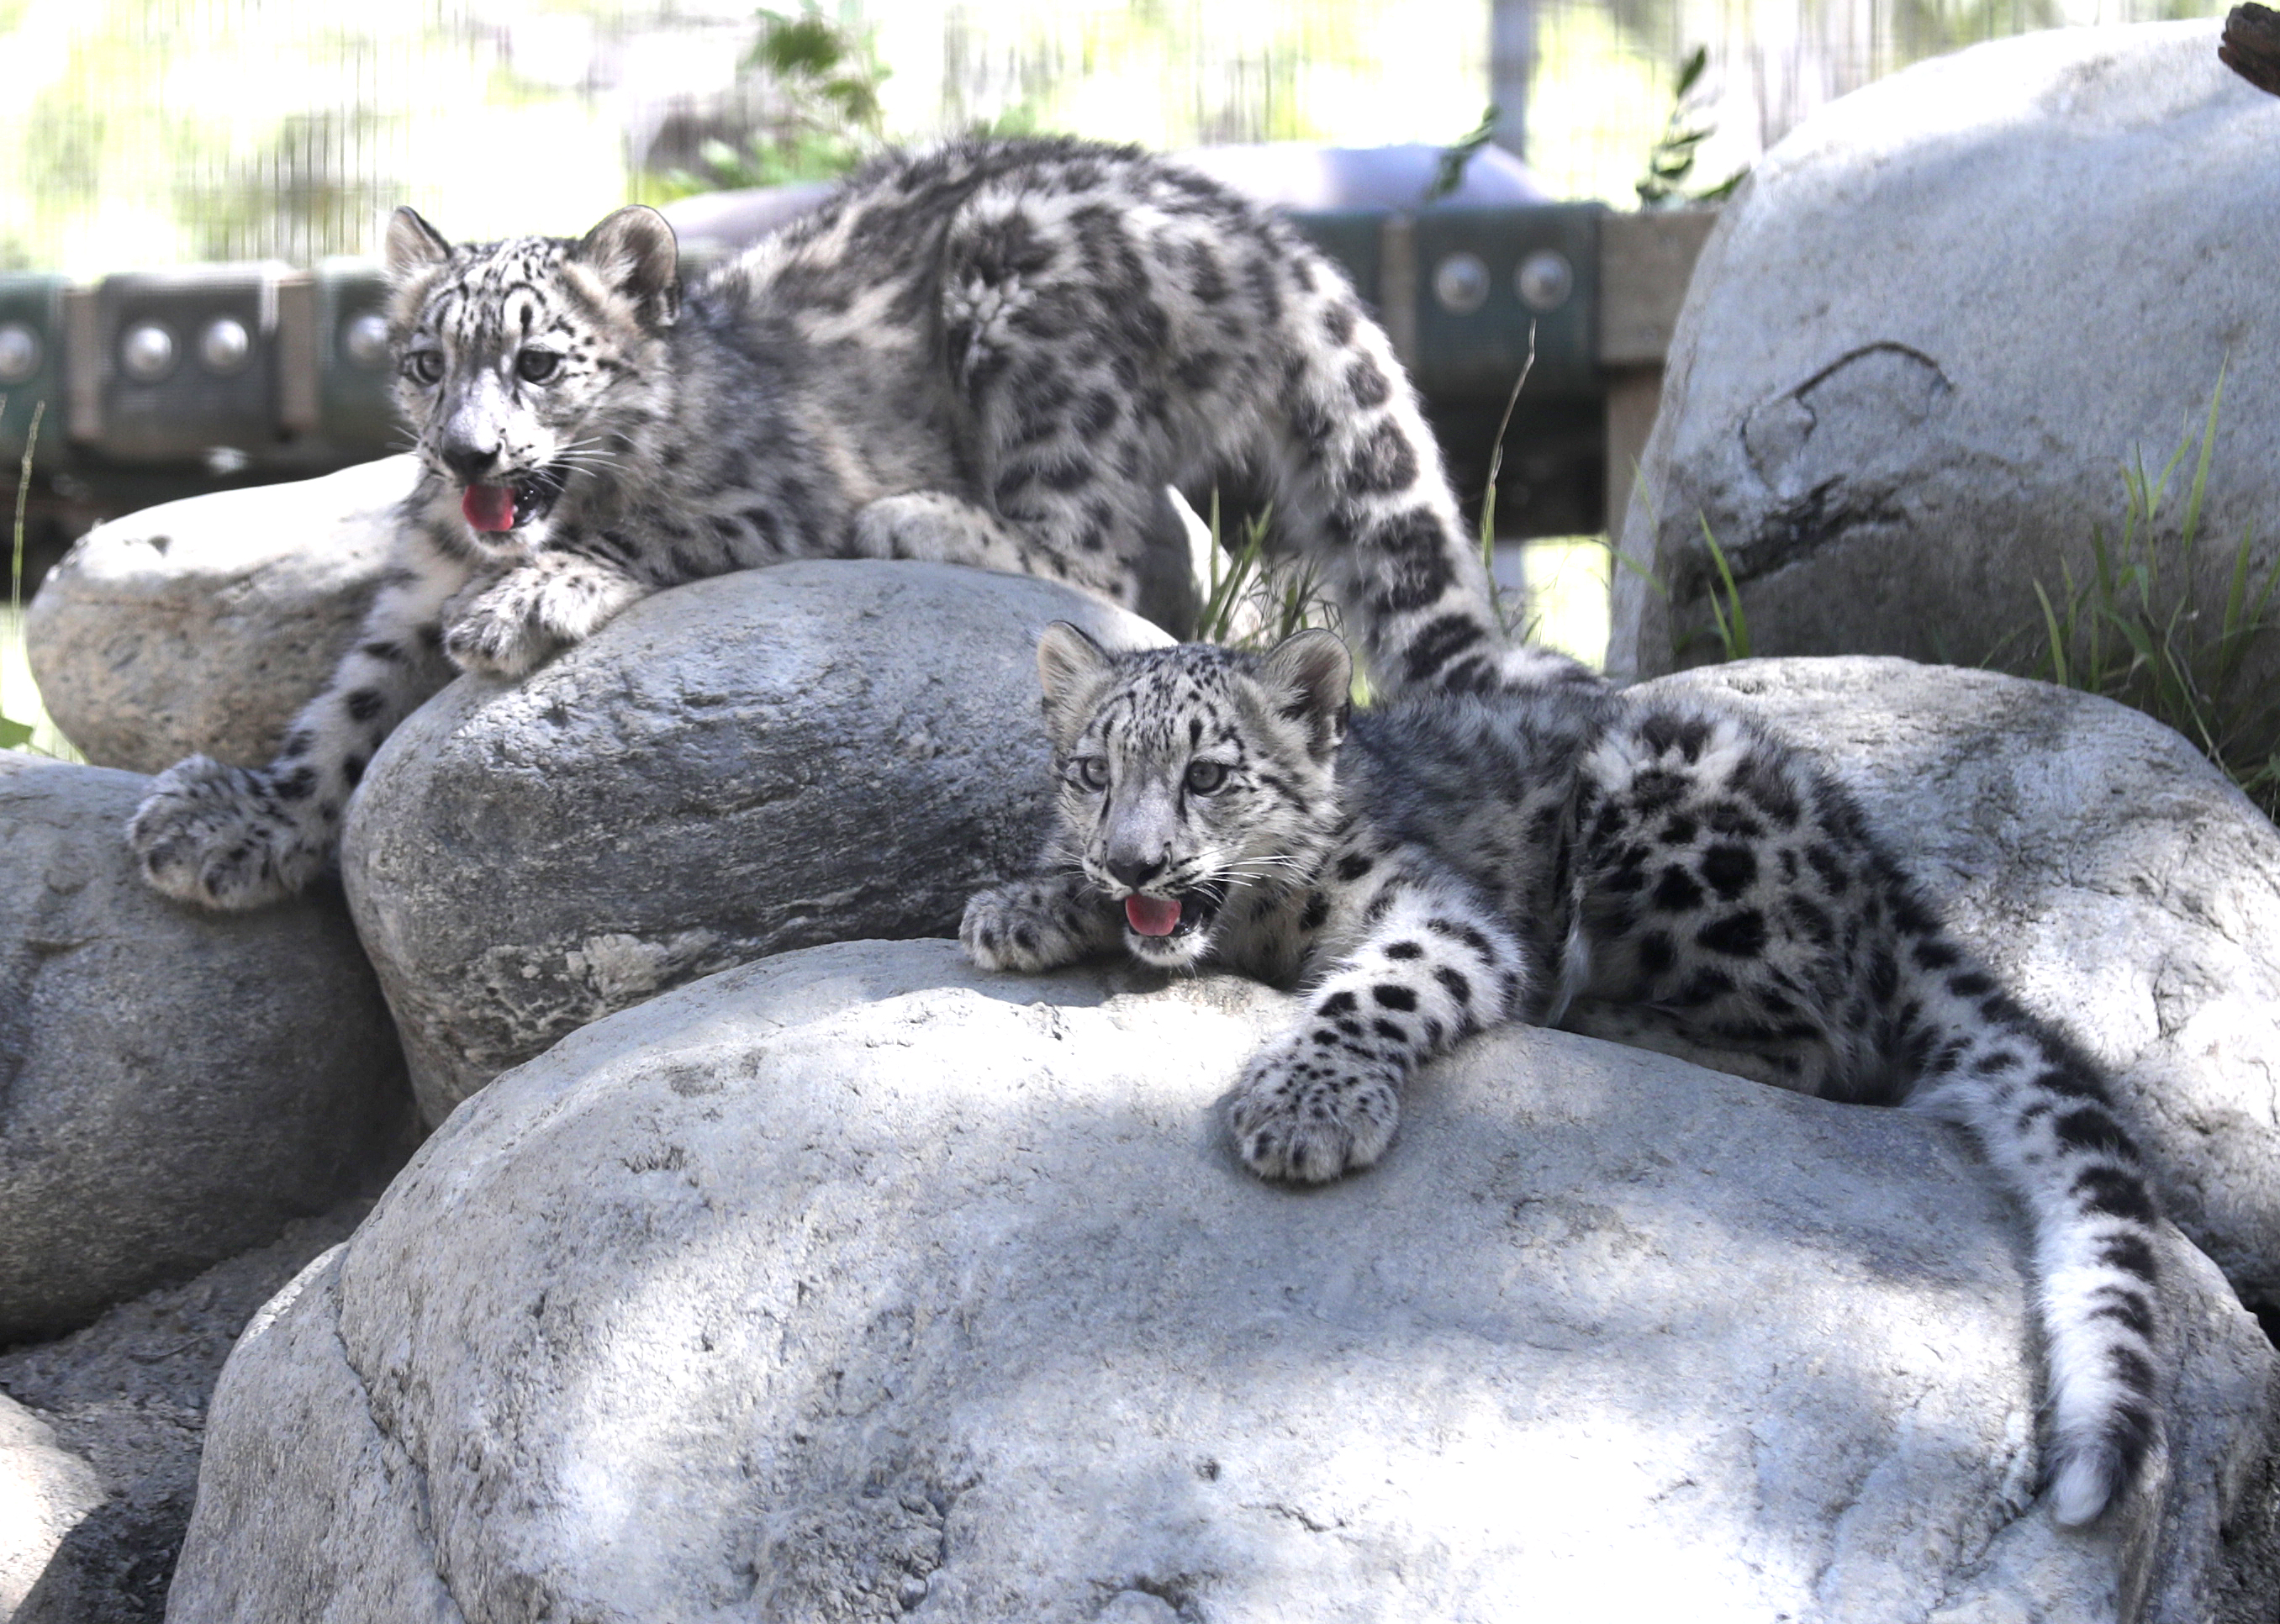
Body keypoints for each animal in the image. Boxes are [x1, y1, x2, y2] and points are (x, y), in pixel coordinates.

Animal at [126, 134, 1590, 913]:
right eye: (427, 361)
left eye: (539, 363)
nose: (466, 452)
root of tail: (1272, 236)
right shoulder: (411, 582)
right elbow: (343, 705)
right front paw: (236, 825)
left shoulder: (773, 501)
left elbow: (647, 538)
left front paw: (530, 599)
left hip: (1034, 333)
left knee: (1094, 553)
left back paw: (922, 519)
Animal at [961, 623, 2166, 1529]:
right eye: (1092, 774)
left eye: (1207, 774)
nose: (1133, 862)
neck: (1256, 929)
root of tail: (1876, 870)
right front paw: (1024, 904)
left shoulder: (1442, 917)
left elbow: (1376, 987)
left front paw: (1305, 1107)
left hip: (1679, 822)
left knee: (1821, 1044)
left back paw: (1605, 1012)